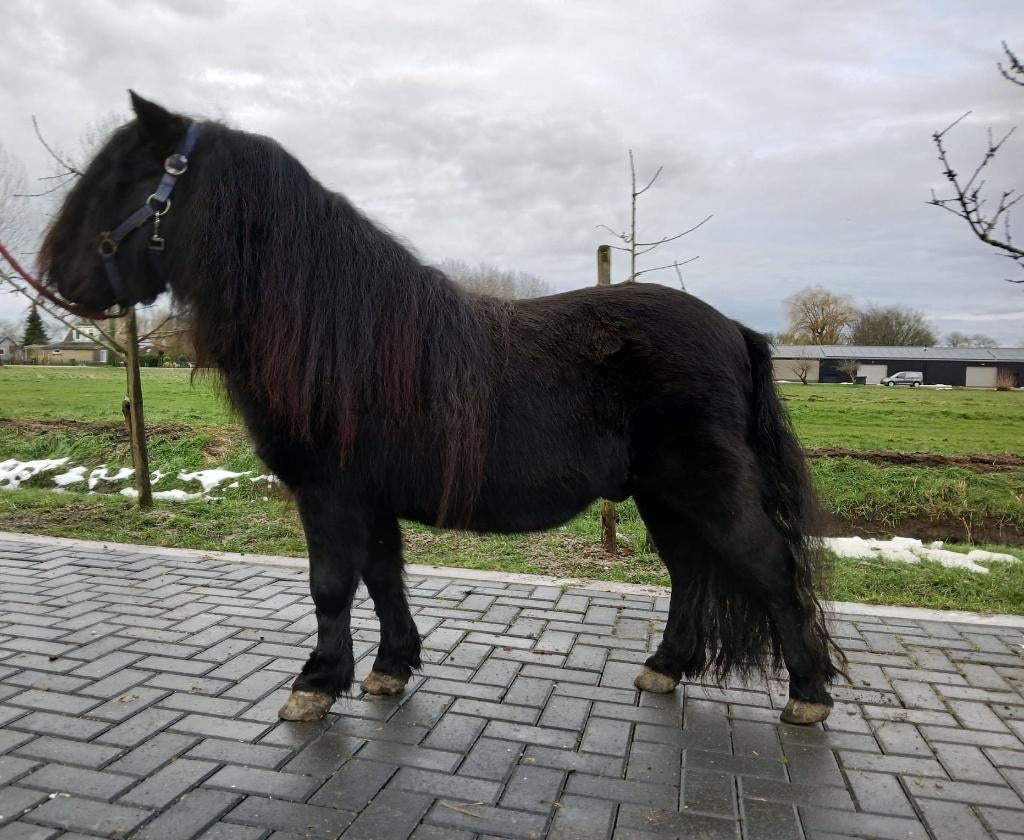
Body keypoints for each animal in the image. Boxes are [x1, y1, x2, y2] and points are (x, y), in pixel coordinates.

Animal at [39, 92, 842, 726]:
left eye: (131, 174)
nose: (59, 279)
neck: (338, 329)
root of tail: (734, 329)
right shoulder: (369, 496)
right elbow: (383, 575)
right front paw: (389, 668)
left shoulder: (330, 493)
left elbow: (332, 585)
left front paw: (315, 684)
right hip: (662, 496)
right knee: (689, 574)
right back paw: (666, 666)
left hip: (703, 489)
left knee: (768, 566)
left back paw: (807, 694)